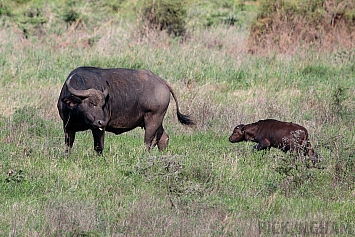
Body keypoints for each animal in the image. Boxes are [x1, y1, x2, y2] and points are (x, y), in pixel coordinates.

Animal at [57, 66, 195, 155]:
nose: (102, 122)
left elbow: (99, 147)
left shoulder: (98, 129)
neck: (76, 111)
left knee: (148, 142)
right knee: (163, 138)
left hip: (153, 120)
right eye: (91, 103)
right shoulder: (68, 128)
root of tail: (161, 82)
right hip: (157, 122)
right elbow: (68, 147)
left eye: (103, 104)